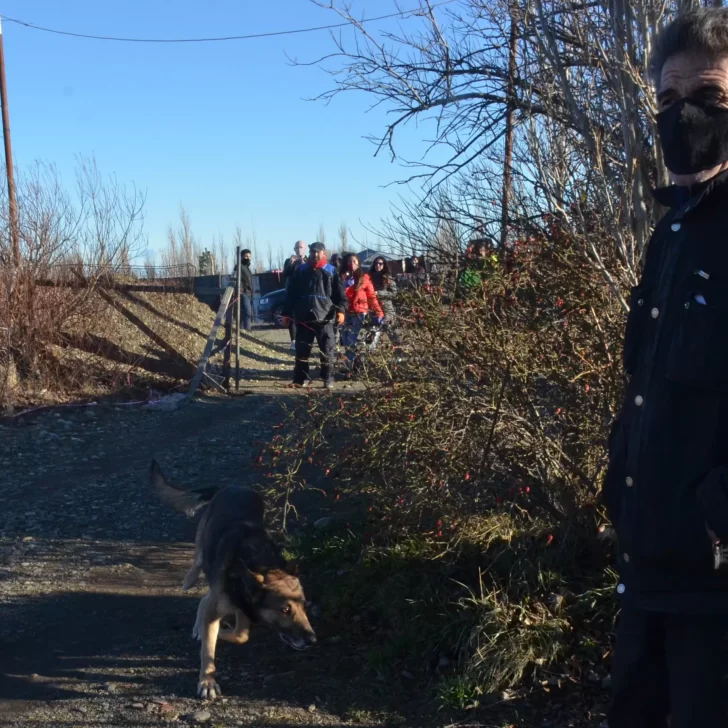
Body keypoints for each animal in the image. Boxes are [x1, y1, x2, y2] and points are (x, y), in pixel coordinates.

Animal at [152, 460, 314, 700]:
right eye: (285, 610)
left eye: (305, 606)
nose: (312, 640)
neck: (258, 562)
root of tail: (229, 488)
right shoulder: (223, 608)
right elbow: (209, 649)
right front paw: (207, 681)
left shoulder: (242, 608)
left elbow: (240, 636)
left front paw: (218, 633)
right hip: (204, 542)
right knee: (198, 562)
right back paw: (190, 581)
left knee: (206, 599)